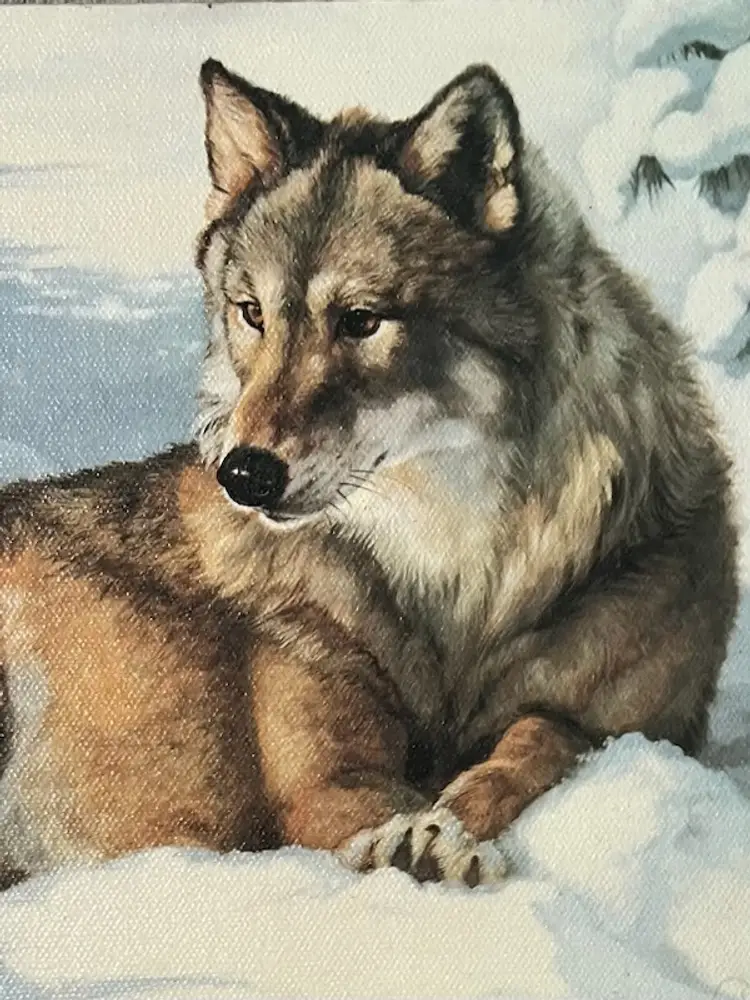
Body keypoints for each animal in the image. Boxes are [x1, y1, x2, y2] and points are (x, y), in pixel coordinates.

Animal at [0, 60, 737, 888]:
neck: (459, 581)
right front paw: (415, 838)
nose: (244, 474)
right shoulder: (322, 783)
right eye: (252, 312)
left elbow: (538, 741)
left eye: (360, 320)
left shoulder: (639, 725)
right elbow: (384, 799)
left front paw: (450, 826)